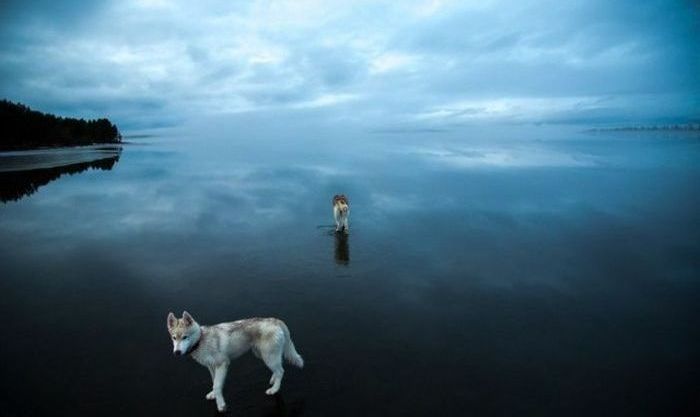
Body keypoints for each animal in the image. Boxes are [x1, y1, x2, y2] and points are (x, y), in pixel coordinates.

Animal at [168, 310, 304, 412]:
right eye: (174, 338)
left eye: (185, 337)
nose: (177, 352)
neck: (201, 340)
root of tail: (275, 320)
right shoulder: (211, 366)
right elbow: (214, 381)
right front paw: (213, 394)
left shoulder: (222, 363)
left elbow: (217, 385)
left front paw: (221, 405)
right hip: (262, 355)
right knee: (277, 369)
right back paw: (273, 380)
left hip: (268, 356)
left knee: (281, 371)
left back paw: (275, 389)